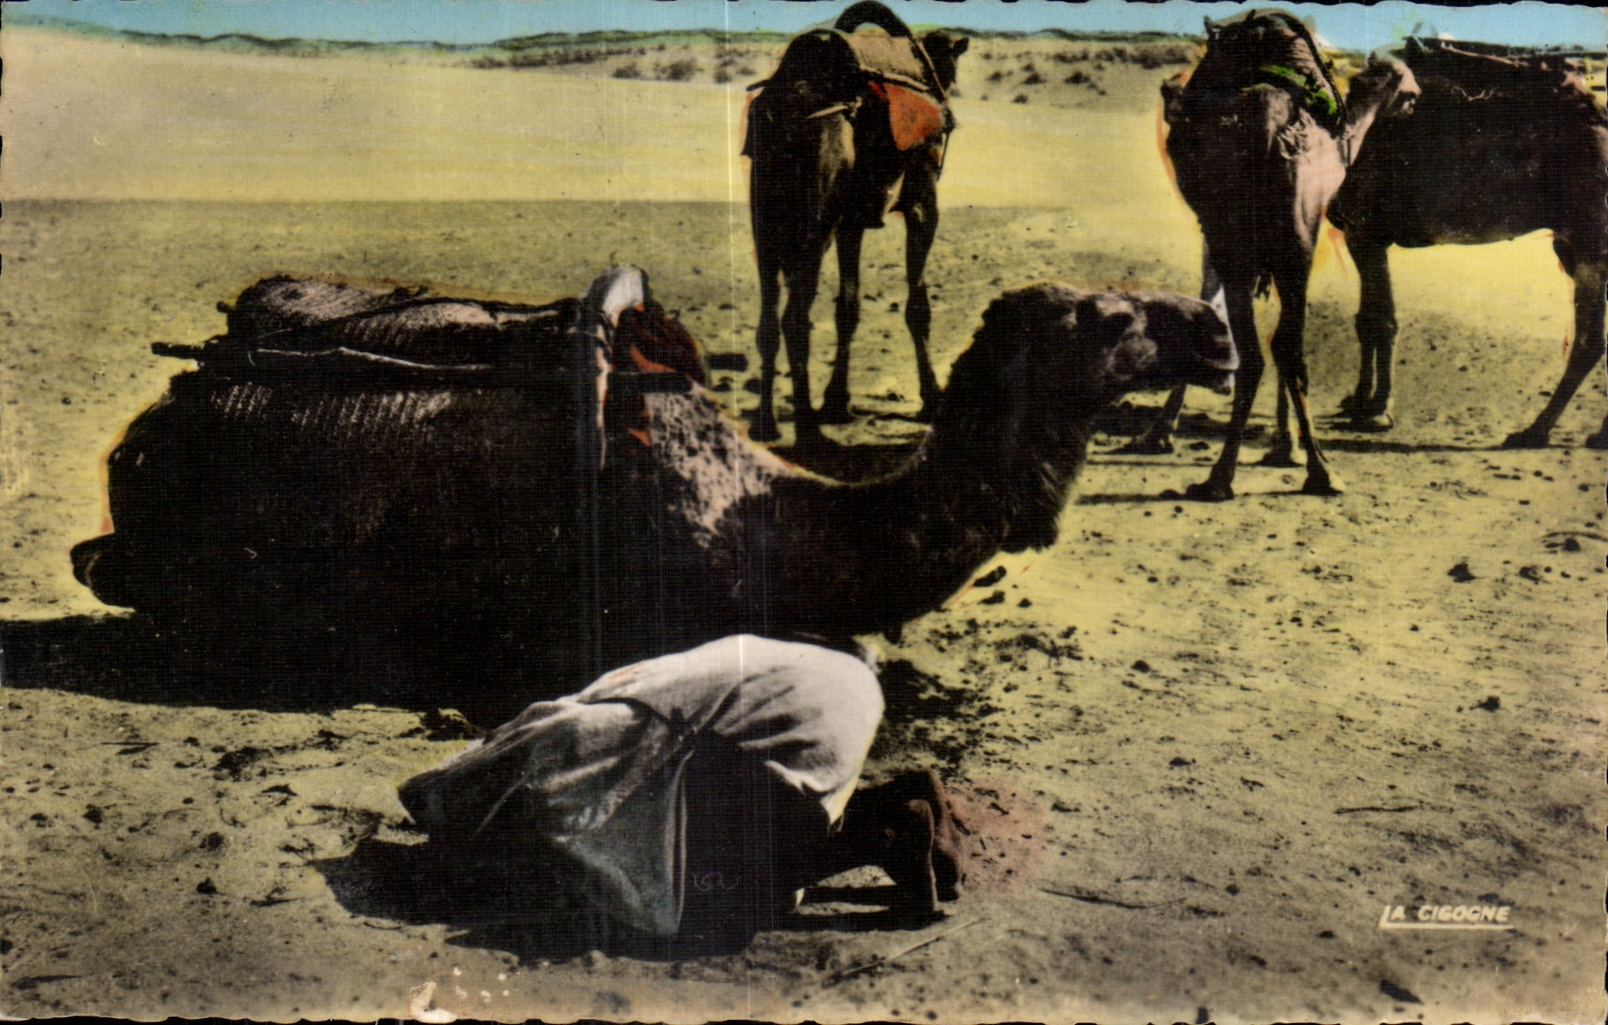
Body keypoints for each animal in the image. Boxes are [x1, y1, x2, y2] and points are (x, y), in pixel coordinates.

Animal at [745, 1, 968, 445]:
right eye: (952, 67)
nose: (949, 116)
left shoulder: (851, 223)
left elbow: (847, 307)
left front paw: (837, 401)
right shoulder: (922, 205)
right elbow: (917, 306)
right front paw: (931, 399)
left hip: (767, 225)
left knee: (768, 320)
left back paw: (768, 424)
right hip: (814, 224)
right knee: (795, 318)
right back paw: (809, 431)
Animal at [1142, 9, 1418, 499]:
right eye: (1403, 78)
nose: (1417, 97)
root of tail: (1270, 132)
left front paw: (1279, 445)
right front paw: (1283, 445)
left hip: (1243, 238)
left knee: (1261, 348)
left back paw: (1224, 474)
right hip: (1280, 237)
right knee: (1280, 345)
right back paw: (1315, 470)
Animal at [1325, 37, 1608, 449]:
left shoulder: (1364, 231)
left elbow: (1382, 321)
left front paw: (1377, 411)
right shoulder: (1362, 234)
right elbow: (1366, 319)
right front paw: (1358, 403)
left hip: (1589, 238)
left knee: (1589, 341)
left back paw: (1533, 431)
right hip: (1573, 243)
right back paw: (1593, 433)